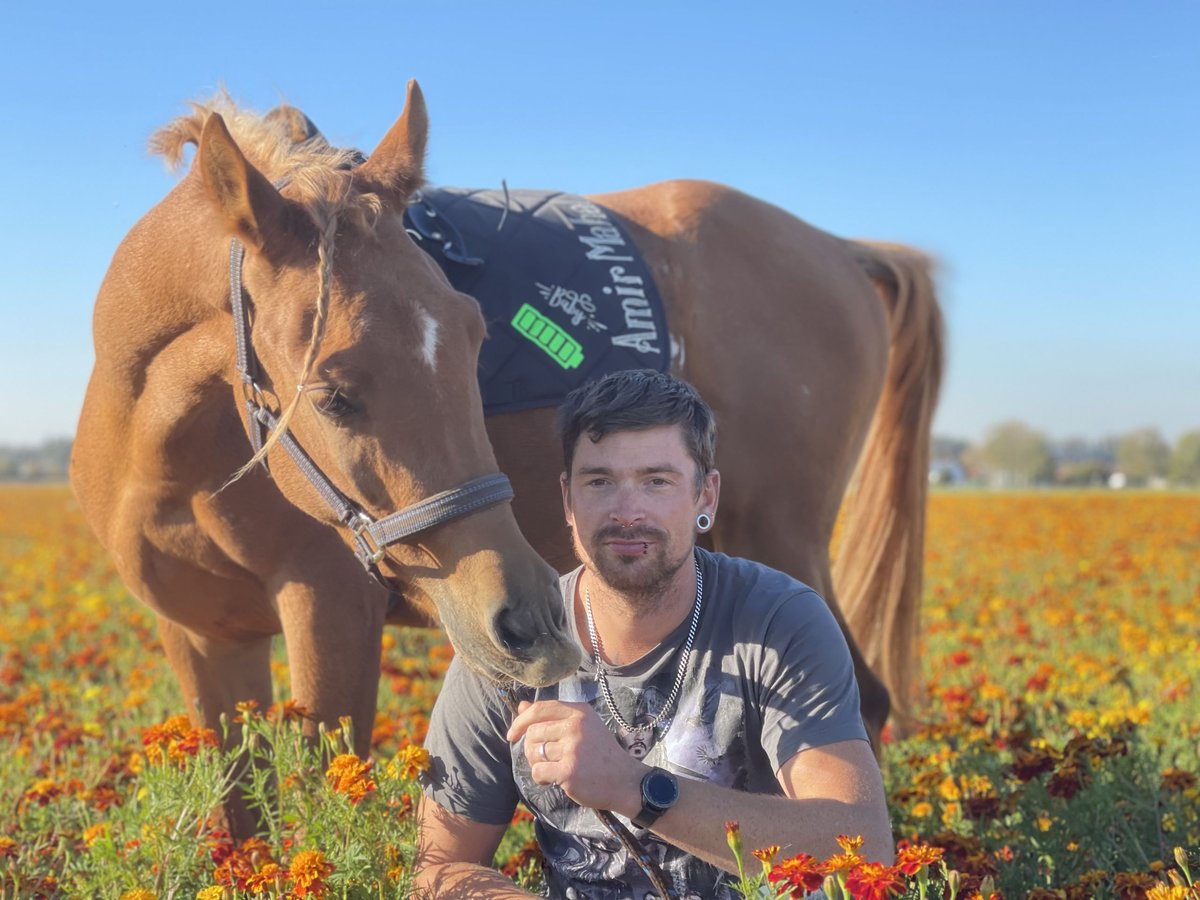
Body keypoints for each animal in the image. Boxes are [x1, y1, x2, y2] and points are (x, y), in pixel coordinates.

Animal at [70, 82, 940, 830]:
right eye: (331, 392)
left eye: (474, 337)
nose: (528, 618)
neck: (180, 460)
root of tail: (837, 248)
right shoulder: (205, 640)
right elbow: (243, 816)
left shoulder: (330, 616)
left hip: (783, 541)